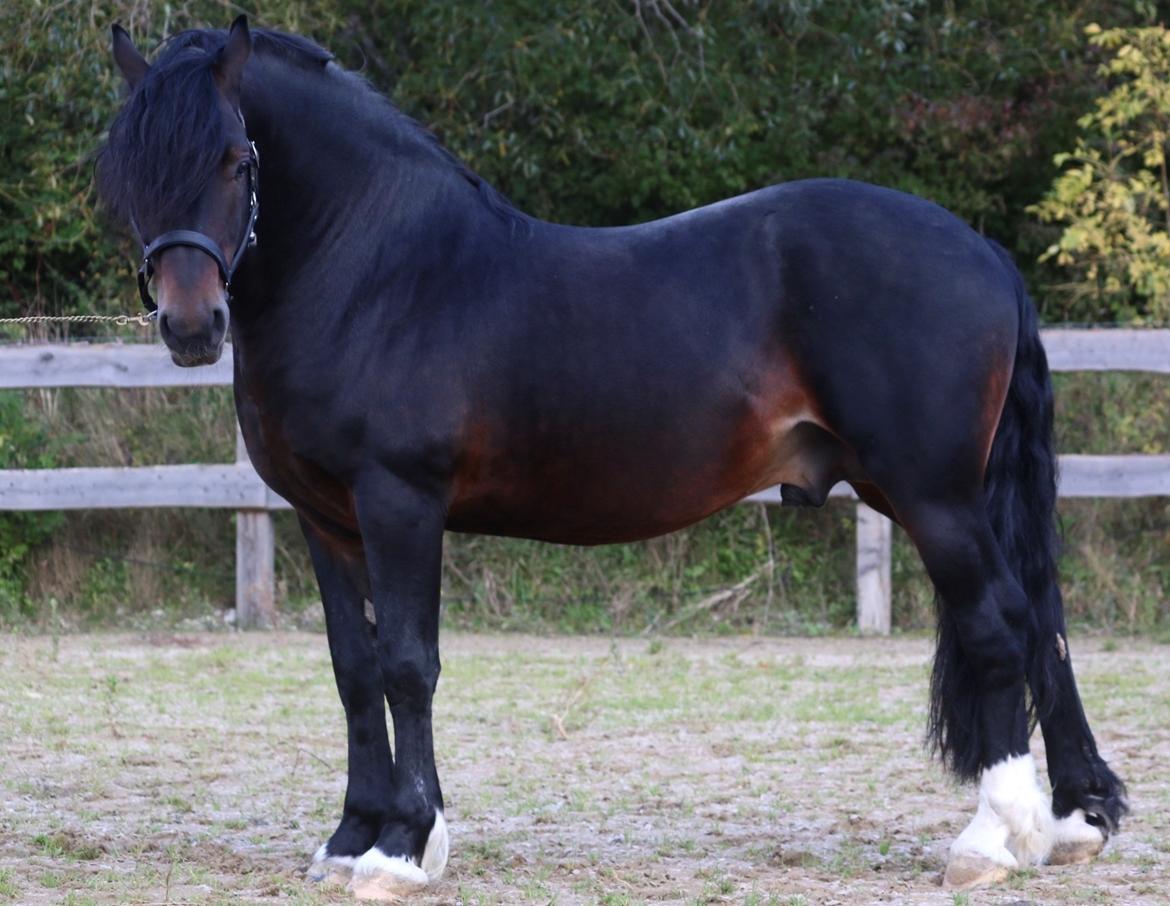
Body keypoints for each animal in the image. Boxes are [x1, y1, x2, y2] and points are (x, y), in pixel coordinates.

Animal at [100, 14, 1123, 898]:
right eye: (127, 172)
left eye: (237, 160)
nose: (191, 325)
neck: (377, 272)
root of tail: (983, 252)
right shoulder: (325, 517)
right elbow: (353, 669)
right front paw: (352, 836)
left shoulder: (400, 503)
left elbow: (407, 665)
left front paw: (402, 848)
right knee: (1042, 623)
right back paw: (1075, 820)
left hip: (934, 496)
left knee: (999, 625)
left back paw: (991, 841)